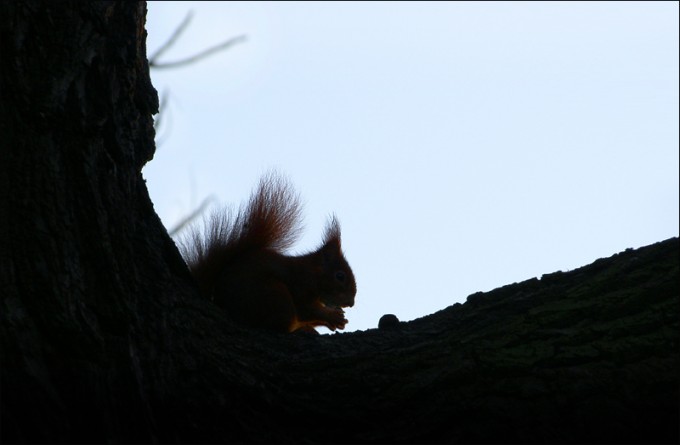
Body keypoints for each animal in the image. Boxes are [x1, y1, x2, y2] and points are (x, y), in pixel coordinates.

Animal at [180, 173, 357, 333]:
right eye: (340, 276)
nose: (352, 303)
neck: (313, 272)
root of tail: (220, 302)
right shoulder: (300, 283)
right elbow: (306, 310)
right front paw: (333, 316)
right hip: (273, 296)